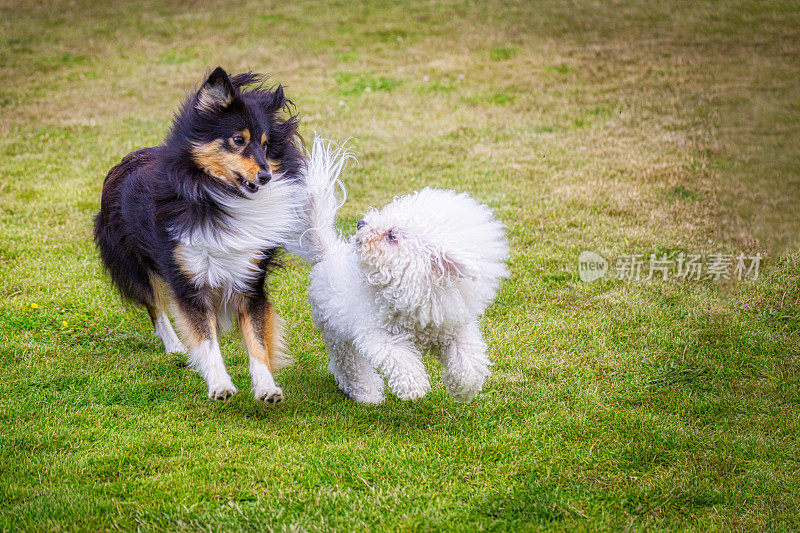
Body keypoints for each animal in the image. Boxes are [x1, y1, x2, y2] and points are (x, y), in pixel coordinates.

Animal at [290, 137, 510, 404]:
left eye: (392, 235)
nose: (360, 224)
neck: (416, 296)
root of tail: (329, 252)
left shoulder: (453, 326)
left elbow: (468, 358)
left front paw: (464, 387)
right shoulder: (378, 335)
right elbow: (400, 360)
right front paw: (414, 387)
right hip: (337, 333)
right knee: (350, 365)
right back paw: (367, 394)